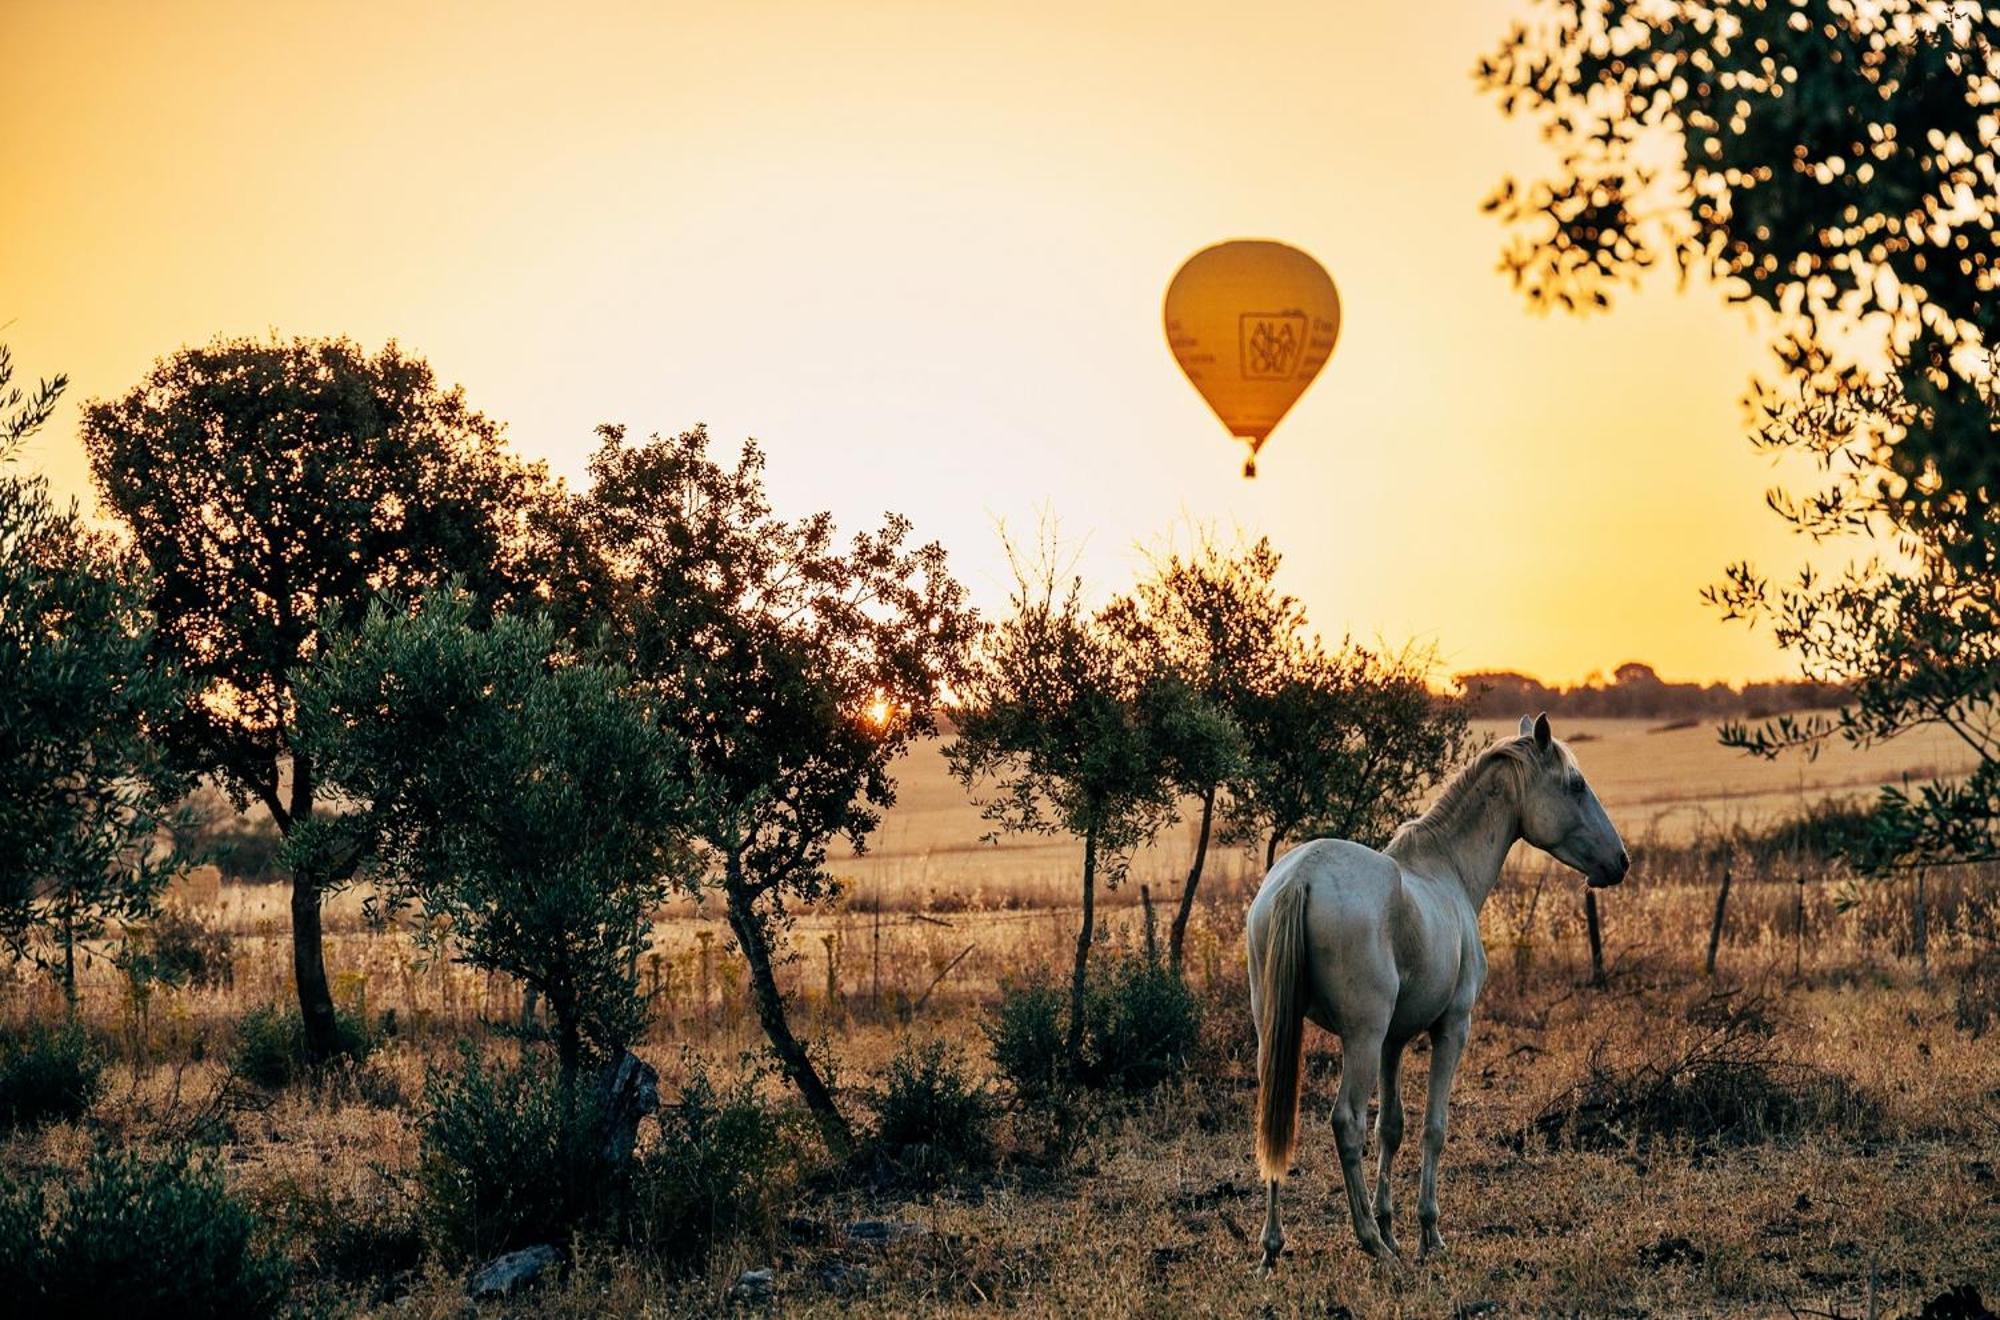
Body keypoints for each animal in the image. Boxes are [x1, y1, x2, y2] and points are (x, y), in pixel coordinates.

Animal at [1248, 720, 1624, 1272]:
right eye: (1575, 786)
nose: (1620, 861)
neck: (1446, 871)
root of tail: (1300, 877)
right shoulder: (1451, 1029)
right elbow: (1432, 1127)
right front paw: (1427, 1233)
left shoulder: (1393, 1041)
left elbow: (1392, 1128)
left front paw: (1392, 1223)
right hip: (1360, 1038)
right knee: (1346, 1122)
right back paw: (1372, 1245)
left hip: (1279, 1031)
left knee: (1276, 1122)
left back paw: (1274, 1248)